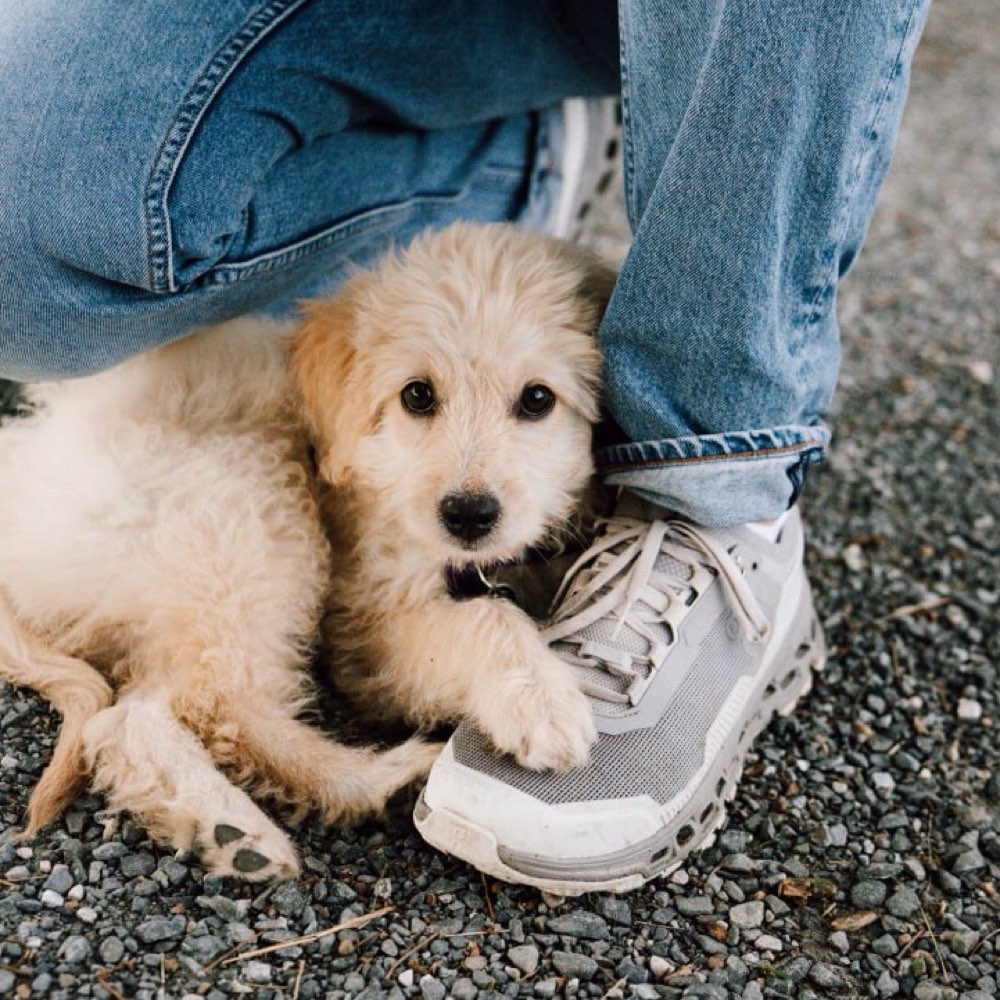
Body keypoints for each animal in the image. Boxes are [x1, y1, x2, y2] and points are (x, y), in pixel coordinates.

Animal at [292, 223, 612, 768]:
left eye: (538, 398)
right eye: (417, 394)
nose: (467, 515)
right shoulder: (366, 632)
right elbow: (481, 617)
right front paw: (540, 698)